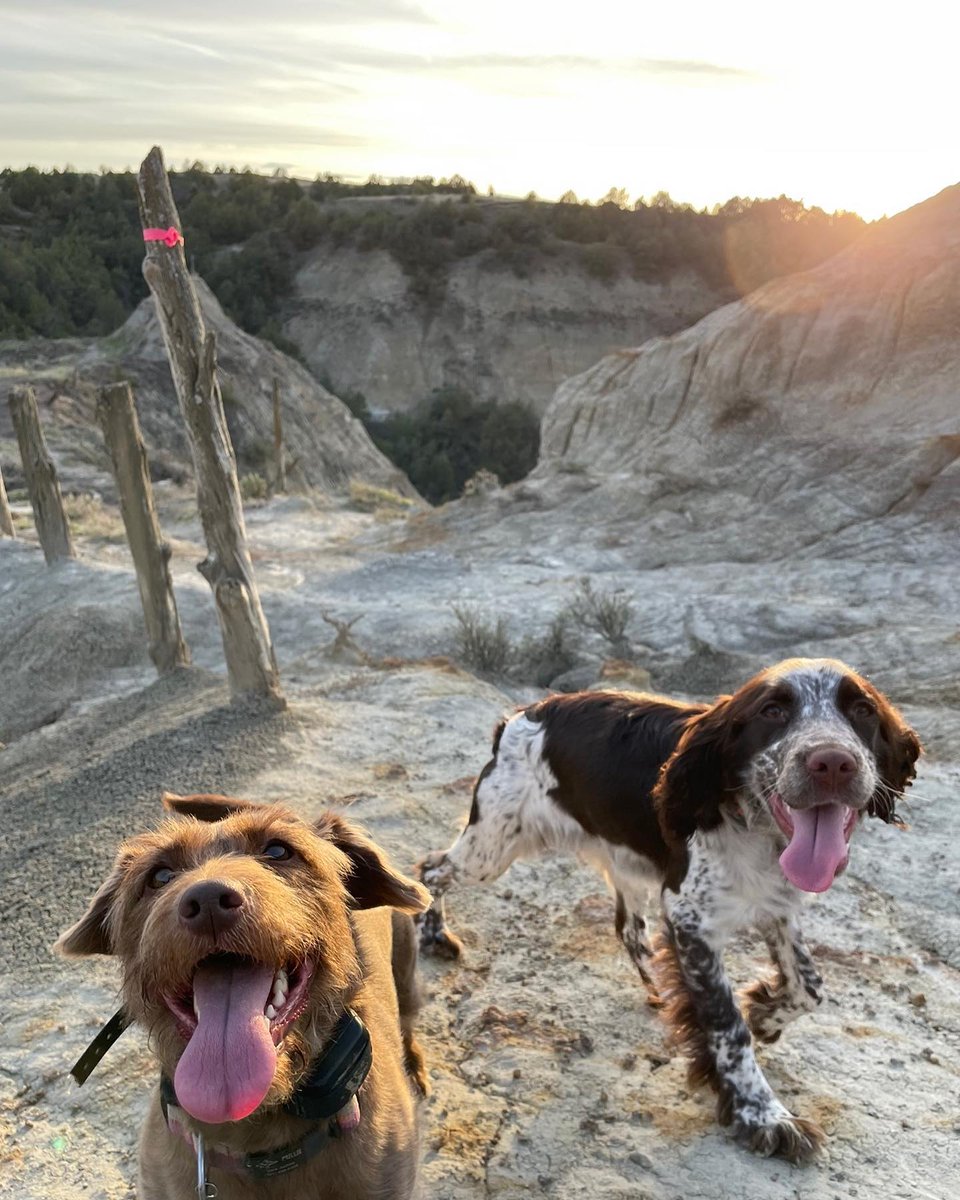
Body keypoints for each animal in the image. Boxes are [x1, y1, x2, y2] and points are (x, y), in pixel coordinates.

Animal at [57, 792, 432, 1200]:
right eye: (159, 875)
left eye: (279, 850)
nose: (207, 900)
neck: (260, 1138)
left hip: (407, 971)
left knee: (409, 1021)